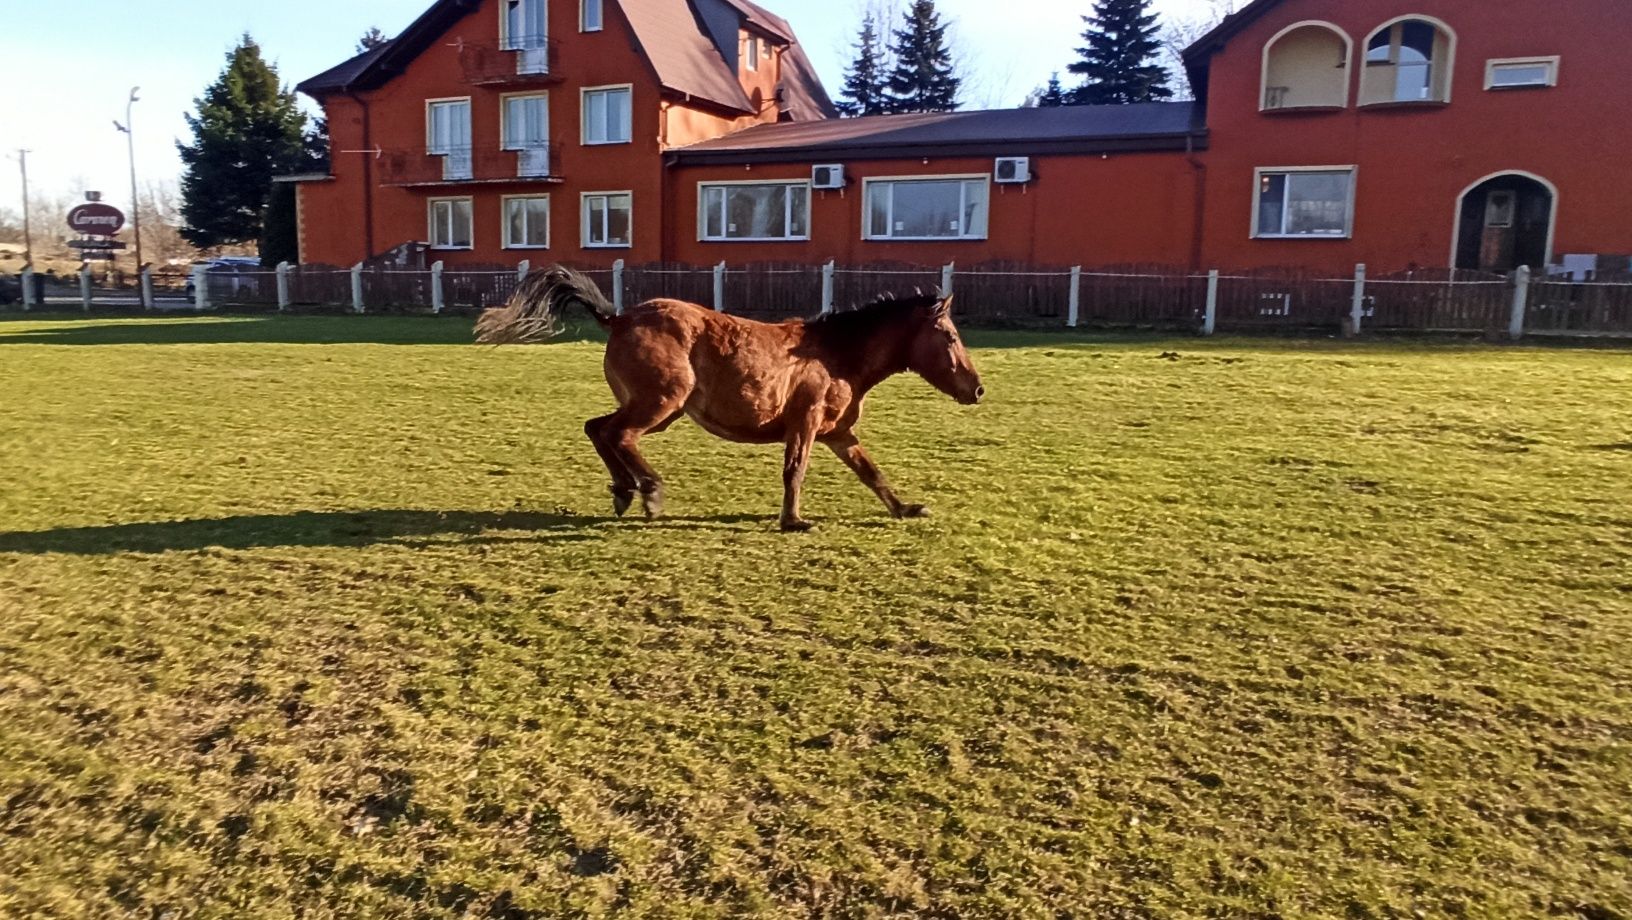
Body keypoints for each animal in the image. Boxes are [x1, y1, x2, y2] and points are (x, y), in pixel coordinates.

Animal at [473, 264, 979, 531]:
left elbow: (872, 473)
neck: (835, 354)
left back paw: (623, 491)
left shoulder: (838, 433)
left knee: (599, 429)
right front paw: (793, 521)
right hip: (662, 403)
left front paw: (906, 509)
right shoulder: (805, 424)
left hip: (655, 407)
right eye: (951, 337)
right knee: (618, 435)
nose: (977, 388)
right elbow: (795, 471)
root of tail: (619, 317)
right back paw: (649, 491)